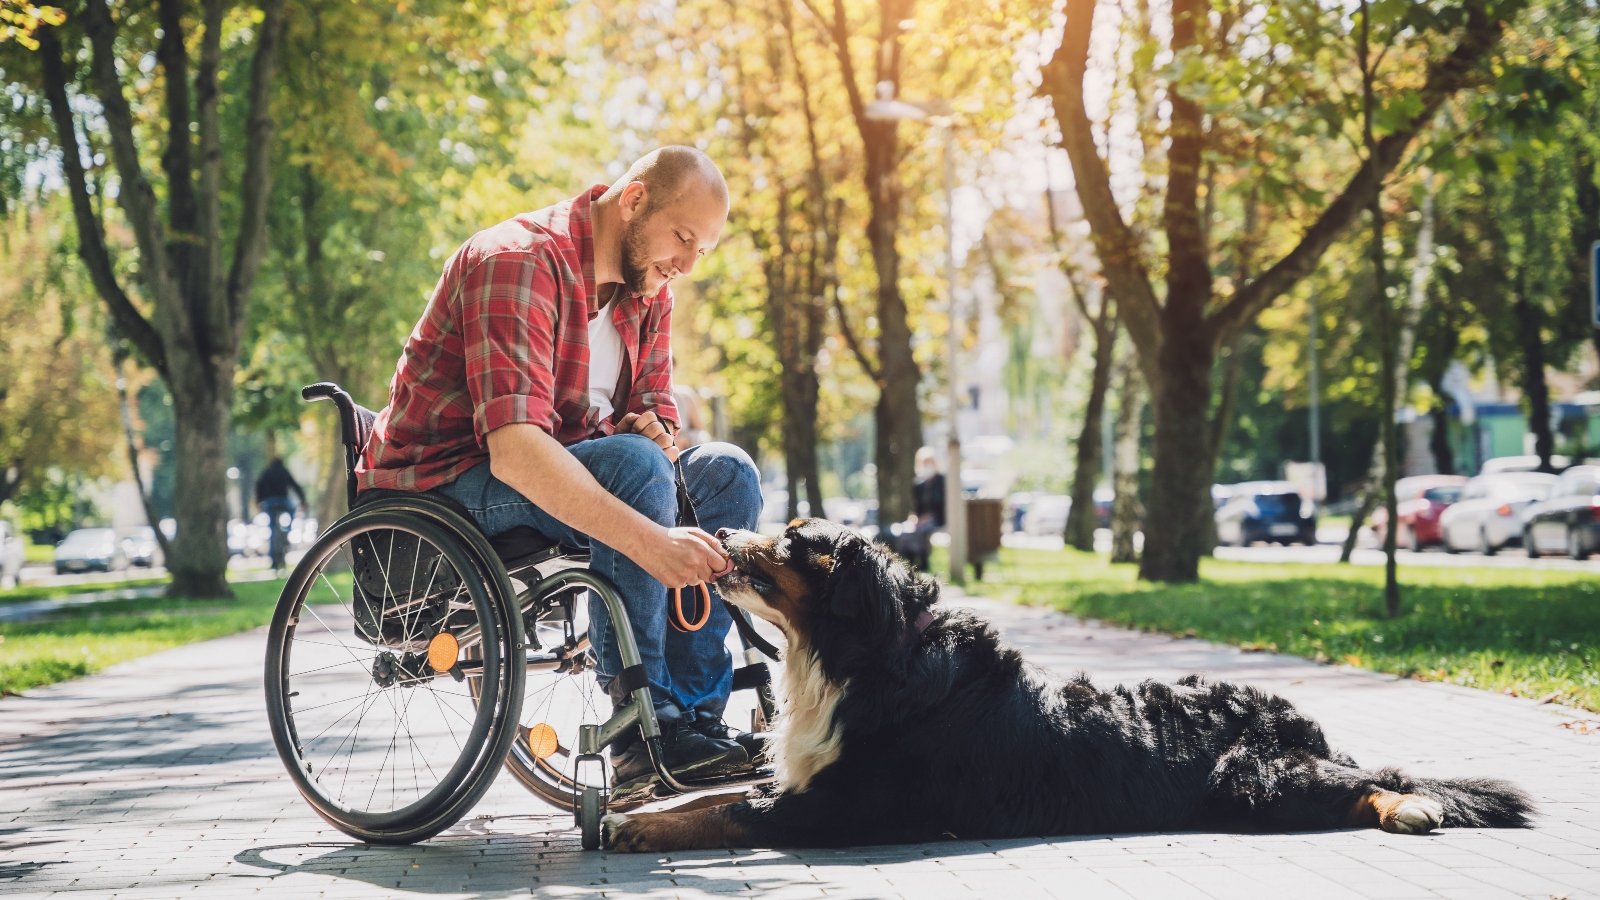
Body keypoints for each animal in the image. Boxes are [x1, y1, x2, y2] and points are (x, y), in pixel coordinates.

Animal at [601, 518, 1536, 845]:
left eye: (795, 541)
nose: (722, 535)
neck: (868, 661)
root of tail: (1298, 720)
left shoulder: (841, 807)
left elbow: (720, 810)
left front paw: (632, 826)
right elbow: (715, 795)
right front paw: (626, 811)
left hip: (1256, 779)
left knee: (1374, 781)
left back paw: (1413, 806)